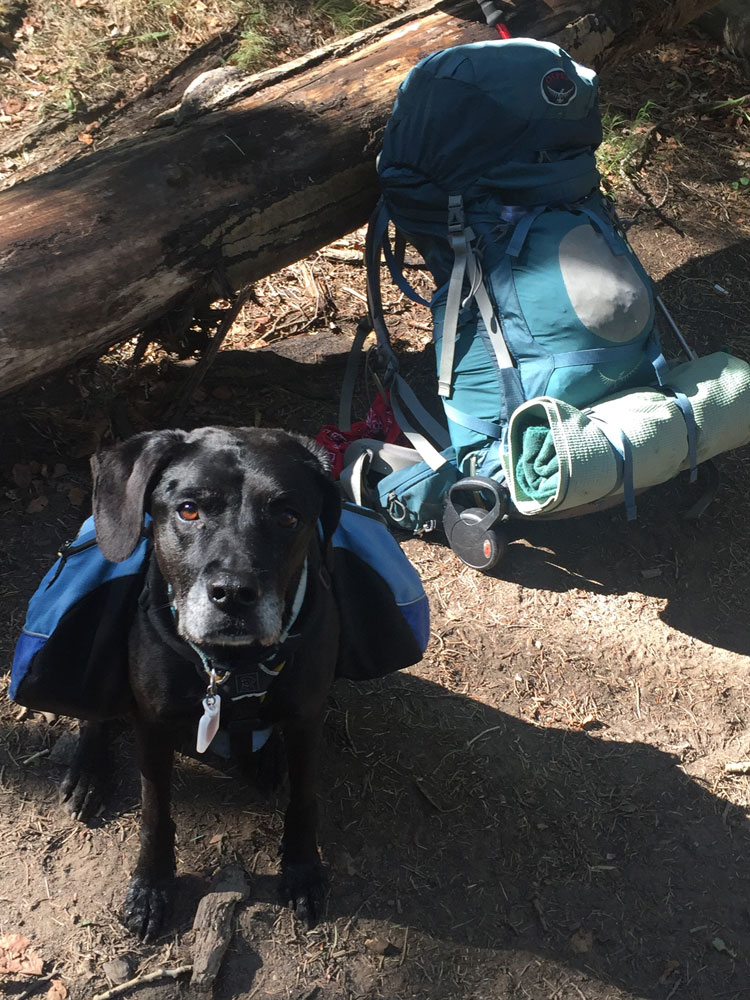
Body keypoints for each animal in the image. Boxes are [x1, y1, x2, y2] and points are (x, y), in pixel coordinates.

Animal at [60, 426, 342, 940]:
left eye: (288, 516)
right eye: (188, 509)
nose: (233, 594)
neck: (233, 663)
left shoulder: (308, 718)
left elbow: (304, 799)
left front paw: (303, 870)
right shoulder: (152, 726)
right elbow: (155, 812)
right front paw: (151, 886)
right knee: (97, 714)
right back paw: (87, 772)